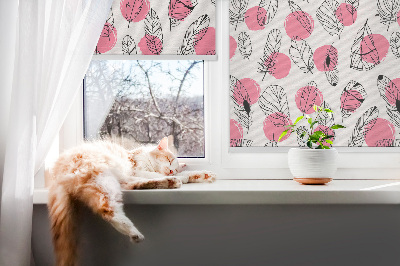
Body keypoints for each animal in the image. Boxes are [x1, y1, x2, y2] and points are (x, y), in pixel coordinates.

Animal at [48, 137, 216, 266]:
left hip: (114, 182)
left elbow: (185, 174)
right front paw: (183, 176)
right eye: (169, 160)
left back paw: (170, 182)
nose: (171, 171)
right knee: (107, 209)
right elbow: (153, 174)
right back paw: (134, 232)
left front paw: (203, 175)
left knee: (134, 186)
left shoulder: (134, 174)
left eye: (174, 166)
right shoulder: (136, 169)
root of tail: (56, 172)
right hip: (103, 178)